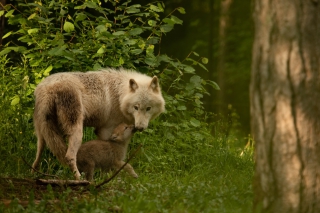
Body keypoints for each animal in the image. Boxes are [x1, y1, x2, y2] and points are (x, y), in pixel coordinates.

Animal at [31, 68, 165, 180]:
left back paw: (34, 174)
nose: (140, 127)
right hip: (77, 132)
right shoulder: (106, 130)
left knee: (37, 155)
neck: (120, 95)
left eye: (148, 108)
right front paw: (110, 178)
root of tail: (48, 87)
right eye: (136, 107)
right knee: (69, 156)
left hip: (42, 133)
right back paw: (79, 179)